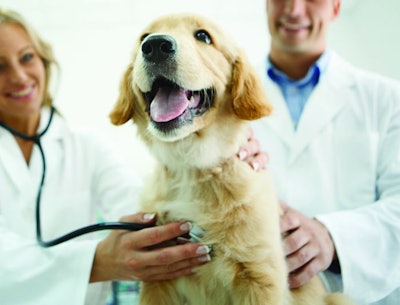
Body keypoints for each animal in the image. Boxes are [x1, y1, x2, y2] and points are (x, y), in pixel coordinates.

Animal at [108, 12, 354, 304]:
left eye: (203, 36)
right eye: (143, 38)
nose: (155, 46)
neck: (191, 168)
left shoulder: (261, 279)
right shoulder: (157, 279)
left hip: (338, 298)